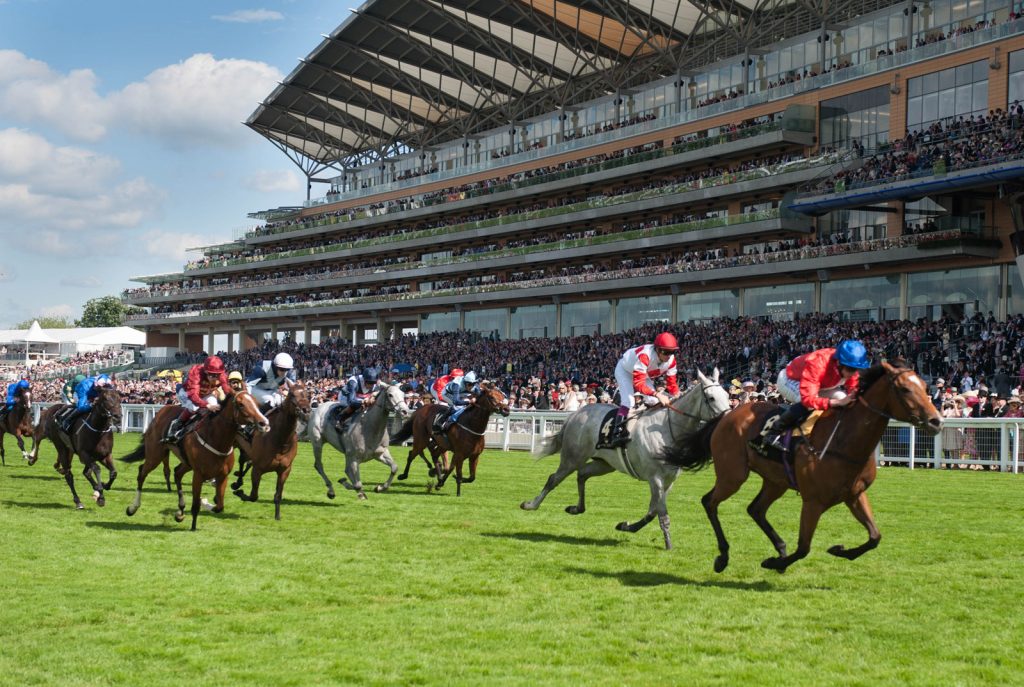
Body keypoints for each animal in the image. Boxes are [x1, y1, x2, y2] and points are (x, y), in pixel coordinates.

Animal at [119, 393, 268, 532]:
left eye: (257, 403)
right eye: (241, 404)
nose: (264, 423)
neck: (216, 439)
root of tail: (161, 411)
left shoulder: (222, 475)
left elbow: (219, 506)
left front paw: (206, 503)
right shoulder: (198, 475)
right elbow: (196, 504)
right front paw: (195, 521)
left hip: (185, 463)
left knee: (177, 473)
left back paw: (180, 511)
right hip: (155, 455)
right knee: (141, 473)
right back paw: (133, 507)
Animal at [232, 380, 311, 522]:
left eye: (307, 394)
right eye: (292, 394)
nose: (306, 411)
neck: (280, 441)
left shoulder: (285, 470)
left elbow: (278, 495)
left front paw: (277, 516)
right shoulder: (258, 469)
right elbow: (254, 496)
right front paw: (239, 492)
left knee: (243, 461)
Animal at [520, 368, 729, 552]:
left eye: (727, 396)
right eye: (711, 398)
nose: (727, 418)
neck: (666, 430)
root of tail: (575, 414)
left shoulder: (669, 481)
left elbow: (652, 511)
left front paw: (626, 526)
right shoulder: (655, 479)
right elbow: (662, 514)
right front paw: (669, 545)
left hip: (604, 464)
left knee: (582, 474)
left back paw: (576, 508)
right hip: (572, 457)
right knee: (554, 479)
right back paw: (530, 504)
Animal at [663, 360, 942, 573]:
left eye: (924, 386)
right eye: (905, 389)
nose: (936, 420)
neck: (844, 440)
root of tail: (727, 415)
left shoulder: (854, 494)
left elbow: (875, 537)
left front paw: (840, 550)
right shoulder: (813, 501)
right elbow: (804, 548)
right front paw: (774, 563)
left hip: (775, 480)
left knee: (755, 509)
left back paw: (779, 547)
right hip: (733, 475)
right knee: (709, 502)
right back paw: (724, 556)